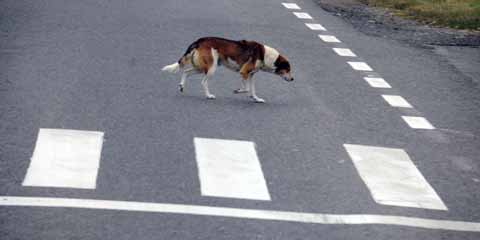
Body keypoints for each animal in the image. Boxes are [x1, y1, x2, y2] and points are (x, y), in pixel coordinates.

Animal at [161, 37, 292, 102]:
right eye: (288, 69)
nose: (292, 79)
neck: (265, 55)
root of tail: (200, 40)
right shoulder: (244, 72)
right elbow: (246, 88)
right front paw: (238, 91)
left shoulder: (250, 75)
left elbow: (252, 90)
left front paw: (256, 99)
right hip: (211, 68)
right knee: (203, 82)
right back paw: (208, 96)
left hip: (202, 68)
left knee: (186, 72)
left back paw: (181, 86)